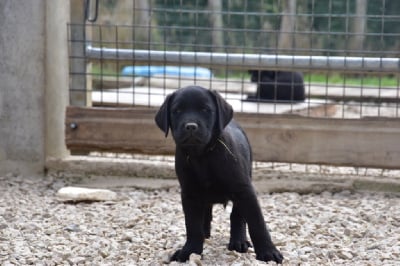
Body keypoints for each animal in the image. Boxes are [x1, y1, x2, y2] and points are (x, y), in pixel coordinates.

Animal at [155, 85, 282, 264]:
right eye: (177, 111)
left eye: (205, 110)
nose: (191, 126)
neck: (202, 156)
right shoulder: (189, 194)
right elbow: (192, 225)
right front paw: (190, 251)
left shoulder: (244, 190)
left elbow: (257, 223)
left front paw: (268, 252)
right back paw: (206, 233)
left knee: (237, 216)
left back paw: (238, 241)